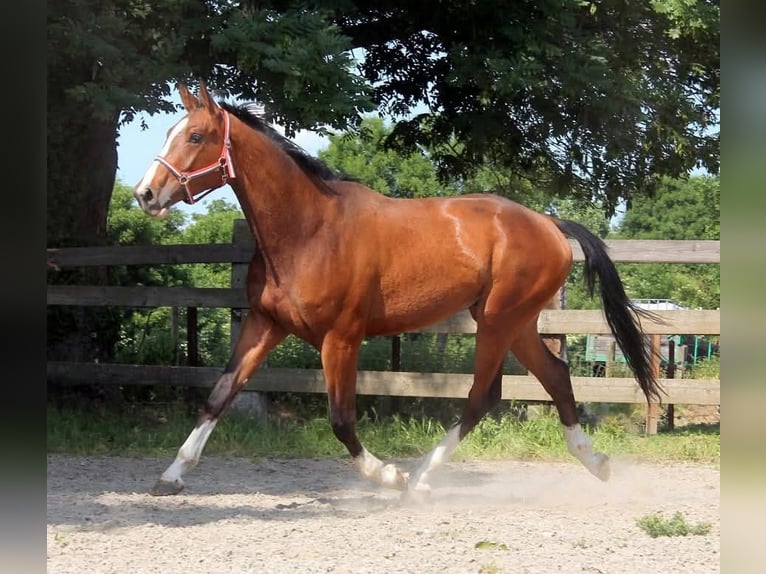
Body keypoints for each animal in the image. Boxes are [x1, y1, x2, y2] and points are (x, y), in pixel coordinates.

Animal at [133, 81, 662, 497]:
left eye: (195, 135)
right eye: (170, 132)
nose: (145, 194)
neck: (310, 231)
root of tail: (549, 223)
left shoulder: (340, 340)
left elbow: (341, 419)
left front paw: (388, 475)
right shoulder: (265, 325)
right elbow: (219, 395)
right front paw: (172, 474)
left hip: (498, 321)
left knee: (482, 396)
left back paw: (420, 479)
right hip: (516, 322)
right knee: (554, 376)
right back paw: (596, 462)